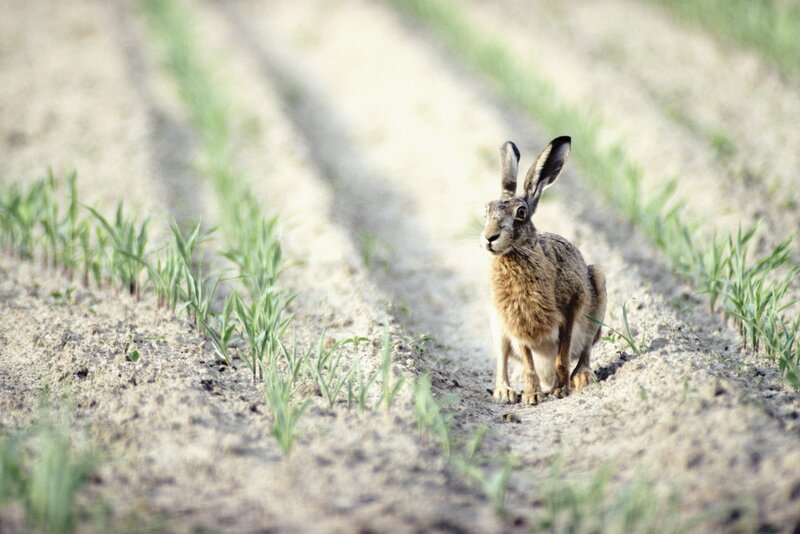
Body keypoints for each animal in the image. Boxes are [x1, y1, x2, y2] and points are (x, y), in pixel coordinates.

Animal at [481, 136, 606, 405]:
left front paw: (560, 390)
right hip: (497, 323)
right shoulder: (517, 323)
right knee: (502, 359)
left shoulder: (570, 308)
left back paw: (580, 378)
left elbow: (563, 353)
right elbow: (528, 363)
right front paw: (532, 396)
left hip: (598, 288)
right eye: (486, 210)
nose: (489, 237)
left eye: (521, 213)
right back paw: (506, 392)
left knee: (585, 349)